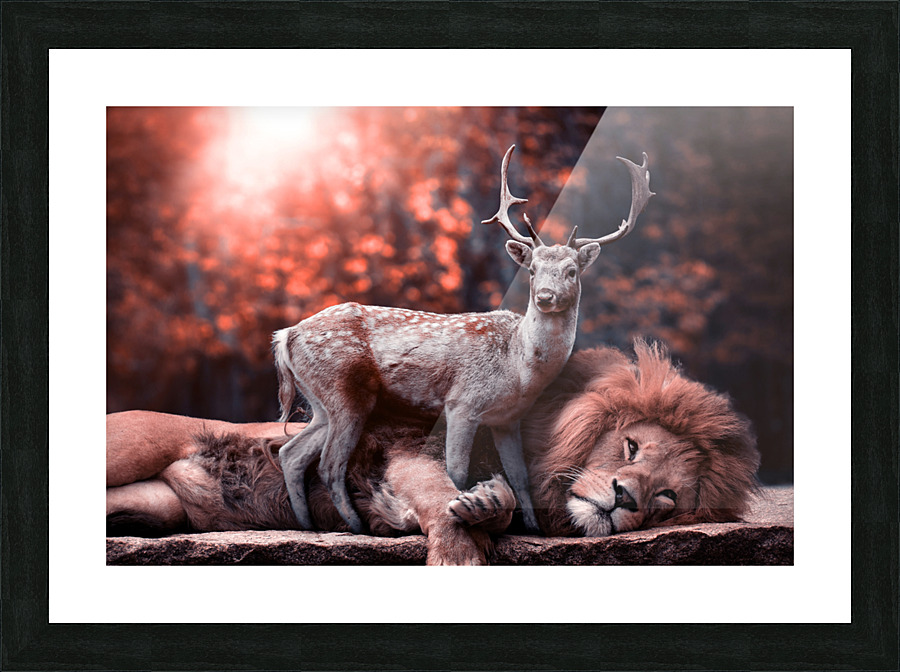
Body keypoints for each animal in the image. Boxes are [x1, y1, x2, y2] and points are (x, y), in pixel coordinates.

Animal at [107, 340, 759, 564]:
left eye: (667, 499)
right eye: (630, 446)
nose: (625, 497)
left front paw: (488, 503)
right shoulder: (410, 450)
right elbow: (442, 501)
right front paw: (459, 553)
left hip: (161, 504)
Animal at [271, 145, 654, 535]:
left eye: (572, 271)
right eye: (532, 270)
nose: (545, 296)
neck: (518, 369)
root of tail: (285, 336)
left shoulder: (507, 419)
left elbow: (520, 476)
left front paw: (532, 527)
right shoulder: (461, 403)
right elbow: (456, 471)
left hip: (321, 401)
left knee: (291, 453)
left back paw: (307, 524)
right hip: (344, 391)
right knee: (329, 464)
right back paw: (356, 525)